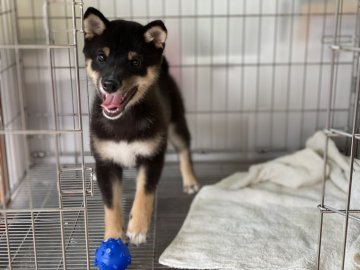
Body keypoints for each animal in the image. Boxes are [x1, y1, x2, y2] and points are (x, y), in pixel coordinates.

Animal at [82, 7, 200, 245]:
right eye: (101, 57)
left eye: (135, 62)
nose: (109, 84)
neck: (124, 120)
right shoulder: (105, 164)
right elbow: (111, 205)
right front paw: (113, 235)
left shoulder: (151, 157)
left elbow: (144, 193)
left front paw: (137, 227)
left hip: (176, 124)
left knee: (184, 150)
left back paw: (190, 180)